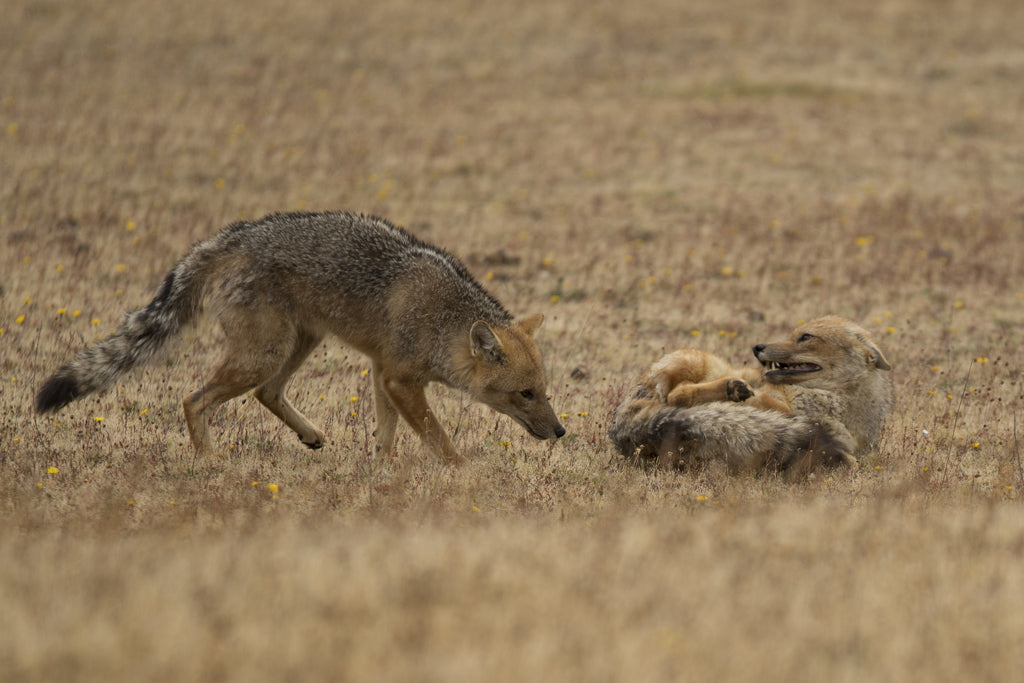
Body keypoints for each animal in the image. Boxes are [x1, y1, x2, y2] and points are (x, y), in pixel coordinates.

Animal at [36, 210, 569, 462]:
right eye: (526, 394)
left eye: (545, 392)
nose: (562, 432)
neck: (441, 318)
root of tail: (233, 235)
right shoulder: (399, 378)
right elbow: (435, 435)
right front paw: (460, 471)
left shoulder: (383, 372)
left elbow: (387, 436)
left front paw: (383, 474)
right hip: (264, 353)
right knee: (194, 399)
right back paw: (208, 462)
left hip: (296, 346)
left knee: (265, 393)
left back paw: (309, 435)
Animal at [610, 317, 892, 479]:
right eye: (793, 334)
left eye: (806, 337)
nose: (758, 347)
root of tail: (619, 426)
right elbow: (775, 407)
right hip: (700, 359)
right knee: (678, 395)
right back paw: (732, 389)